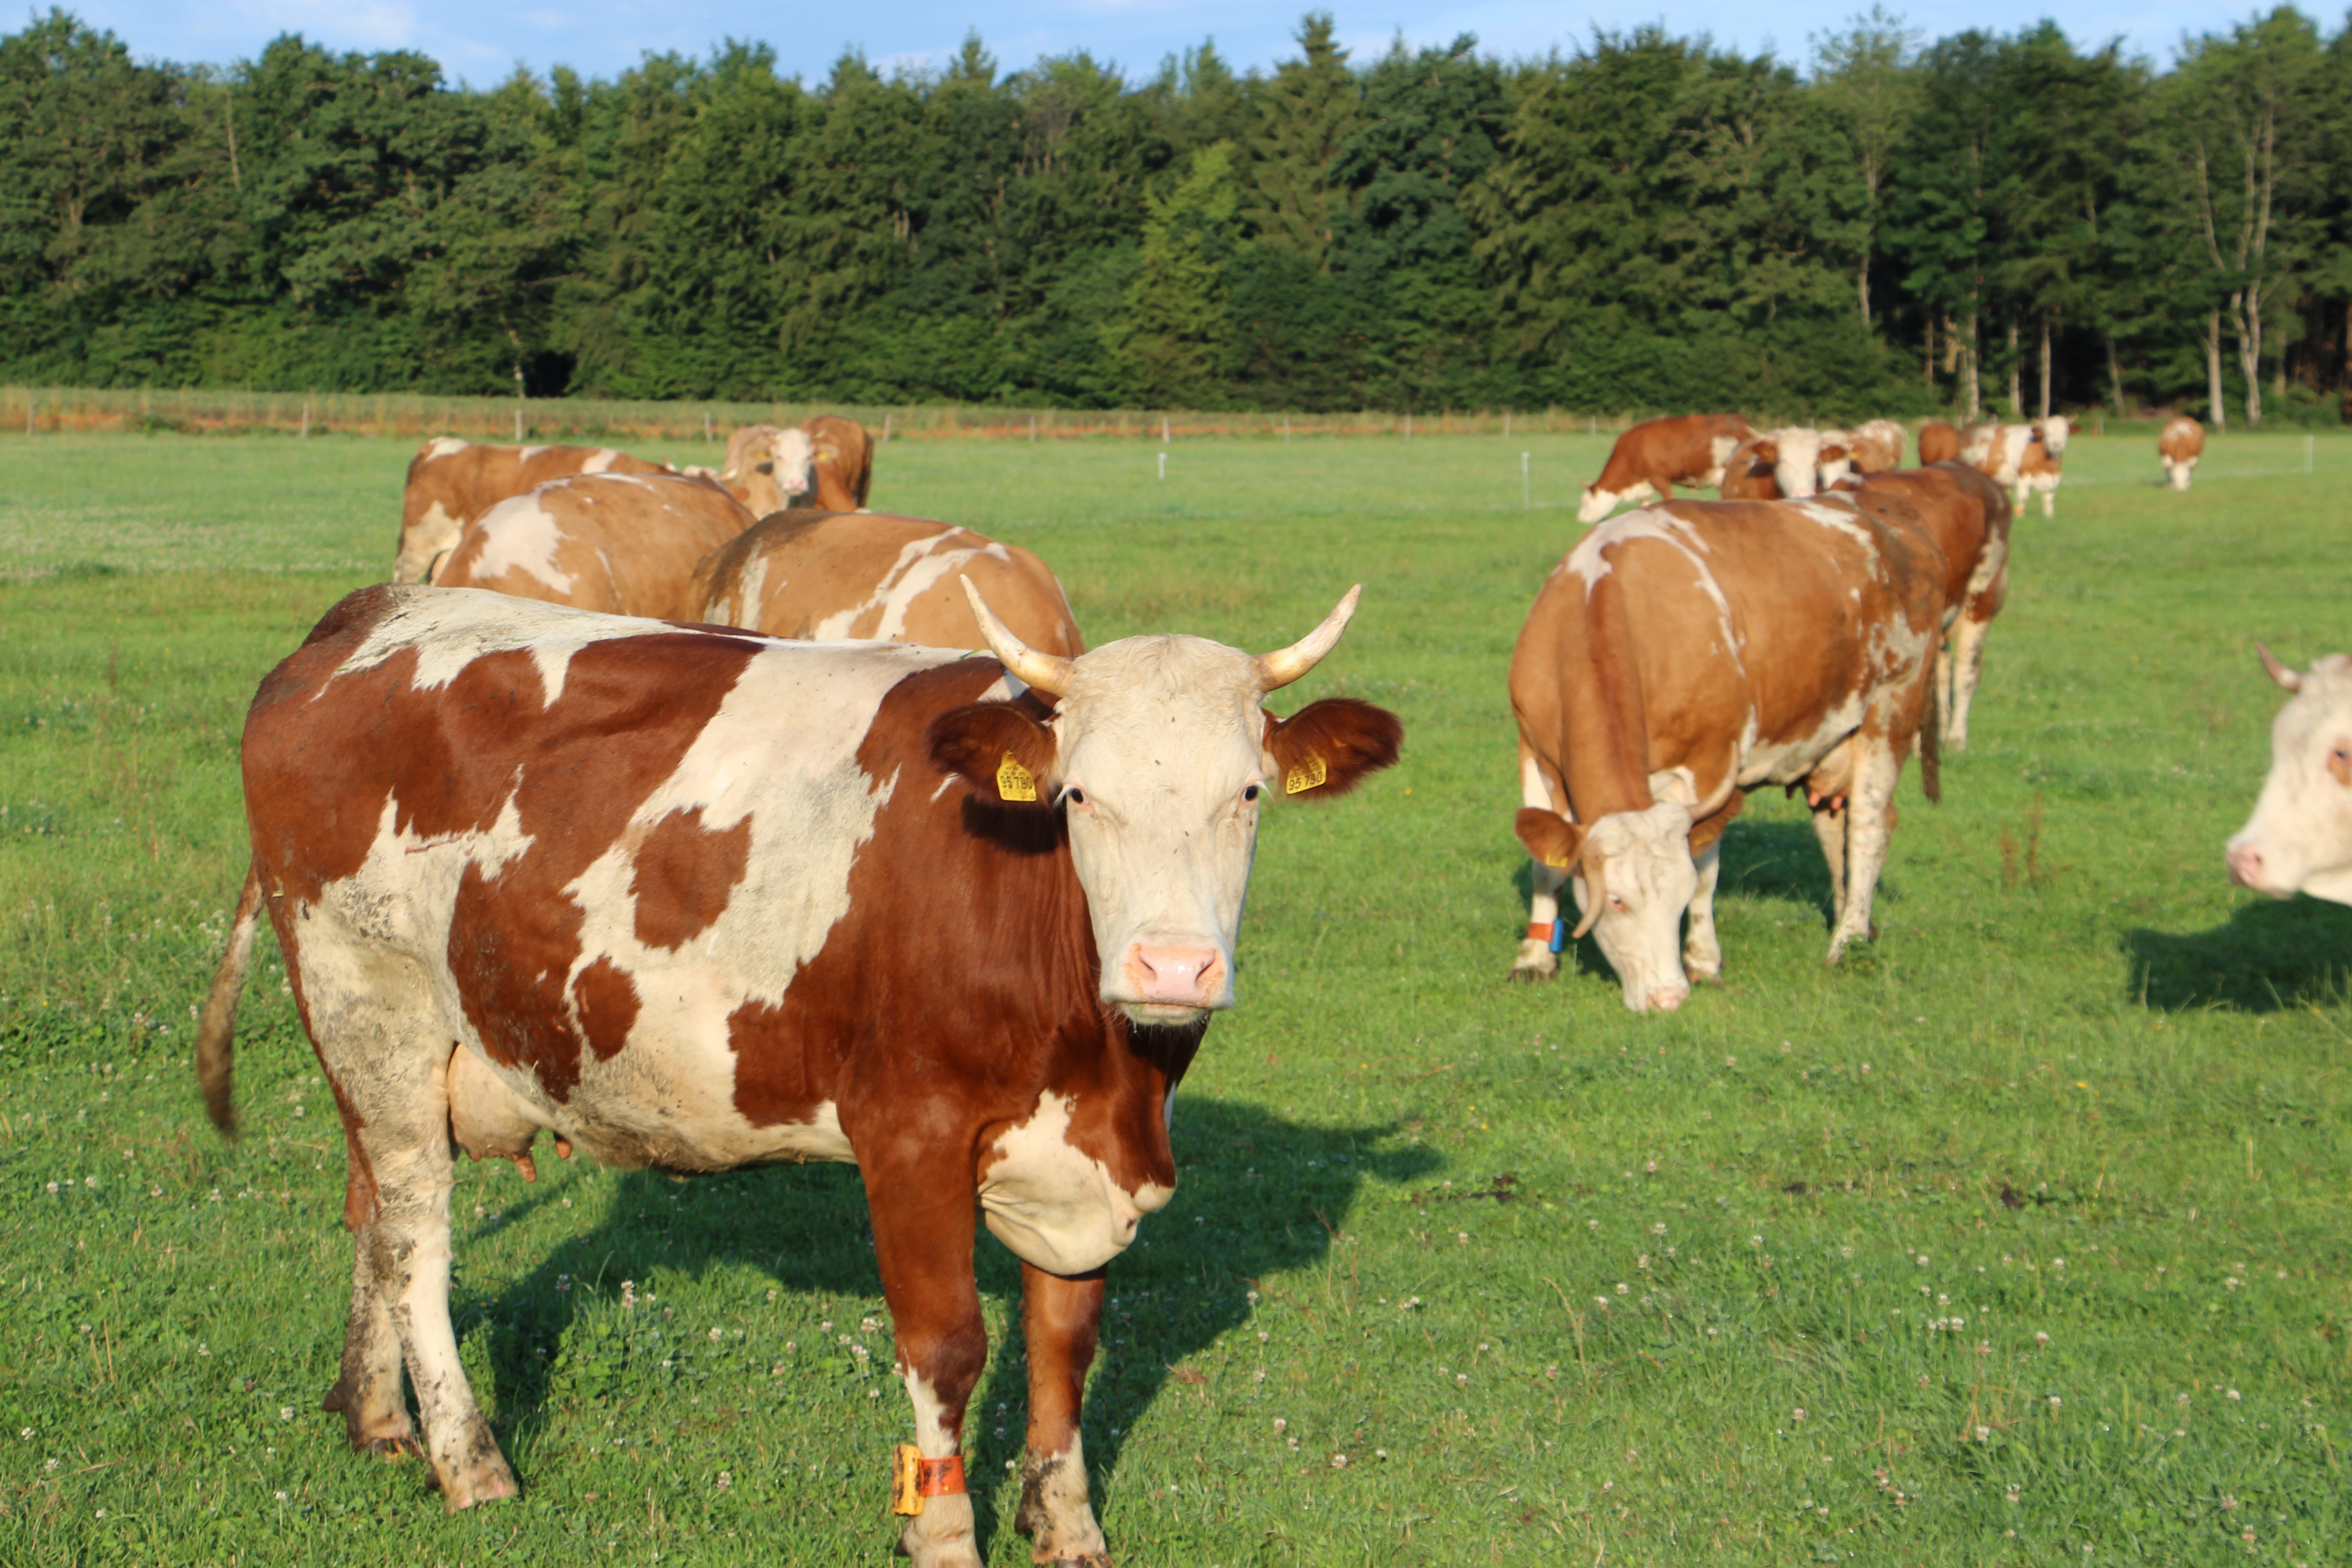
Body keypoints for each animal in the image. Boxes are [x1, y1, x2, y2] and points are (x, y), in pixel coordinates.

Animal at [194, 579, 1402, 1564]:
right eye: (1078, 797)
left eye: (1248, 794)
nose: (1173, 966)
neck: (1102, 1062)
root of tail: (376, 612)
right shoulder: (908, 1129)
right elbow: (947, 1345)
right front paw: (944, 1536)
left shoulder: (1086, 1157)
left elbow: (1066, 1338)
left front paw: (1068, 1529)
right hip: (370, 1000)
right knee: (415, 1235)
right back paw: (469, 1460)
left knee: (371, 1212)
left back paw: (377, 1419)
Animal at [1506, 495, 1947, 1010]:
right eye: (1616, 899)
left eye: (1677, 901)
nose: (1668, 998)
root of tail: (1895, 524)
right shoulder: (1533, 749)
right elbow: (1545, 866)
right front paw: (1534, 959)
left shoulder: (1709, 763)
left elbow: (1703, 870)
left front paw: (1702, 962)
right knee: (1835, 825)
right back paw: (1856, 923)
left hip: (1892, 709)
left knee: (1868, 828)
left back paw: (1847, 942)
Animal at [1577, 414, 1754, 523]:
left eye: (1586, 502)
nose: (1580, 520)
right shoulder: (1646, 487)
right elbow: (1646, 507)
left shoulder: (1659, 478)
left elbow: (1669, 500)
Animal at [2160, 416, 2205, 492]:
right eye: (2174, 477)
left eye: (2186, 477)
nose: (2180, 490)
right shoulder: (2167, 456)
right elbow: (2168, 469)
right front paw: (2170, 486)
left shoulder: (2192, 458)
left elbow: (2190, 470)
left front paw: (2188, 484)